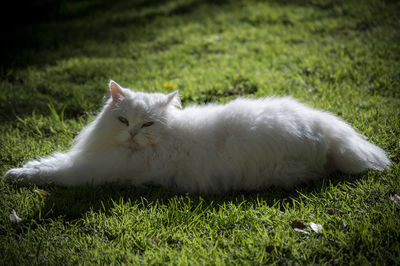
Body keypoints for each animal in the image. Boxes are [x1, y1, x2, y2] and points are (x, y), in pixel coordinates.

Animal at [3, 80, 390, 192]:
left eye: (147, 125)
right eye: (124, 120)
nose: (132, 133)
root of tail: (329, 129)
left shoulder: (94, 170)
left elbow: (55, 171)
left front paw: (16, 174)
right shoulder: (90, 157)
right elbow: (51, 161)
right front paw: (23, 168)